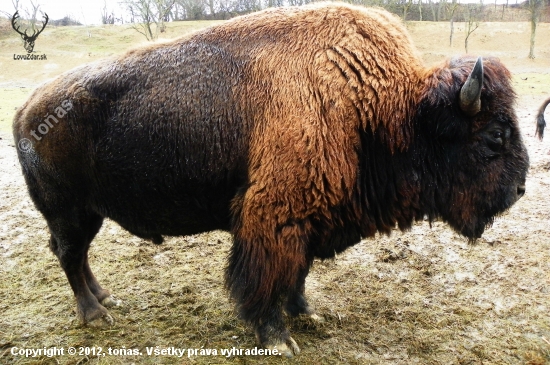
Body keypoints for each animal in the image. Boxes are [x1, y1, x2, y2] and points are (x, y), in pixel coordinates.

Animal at [12, 2, 532, 356]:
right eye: (494, 138)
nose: (520, 189)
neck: (384, 106)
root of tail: (28, 108)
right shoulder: (274, 217)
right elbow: (266, 277)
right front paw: (277, 338)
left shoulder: (311, 217)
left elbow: (297, 273)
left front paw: (309, 313)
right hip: (68, 212)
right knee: (69, 257)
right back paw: (95, 316)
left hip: (88, 214)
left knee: (79, 257)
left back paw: (105, 299)